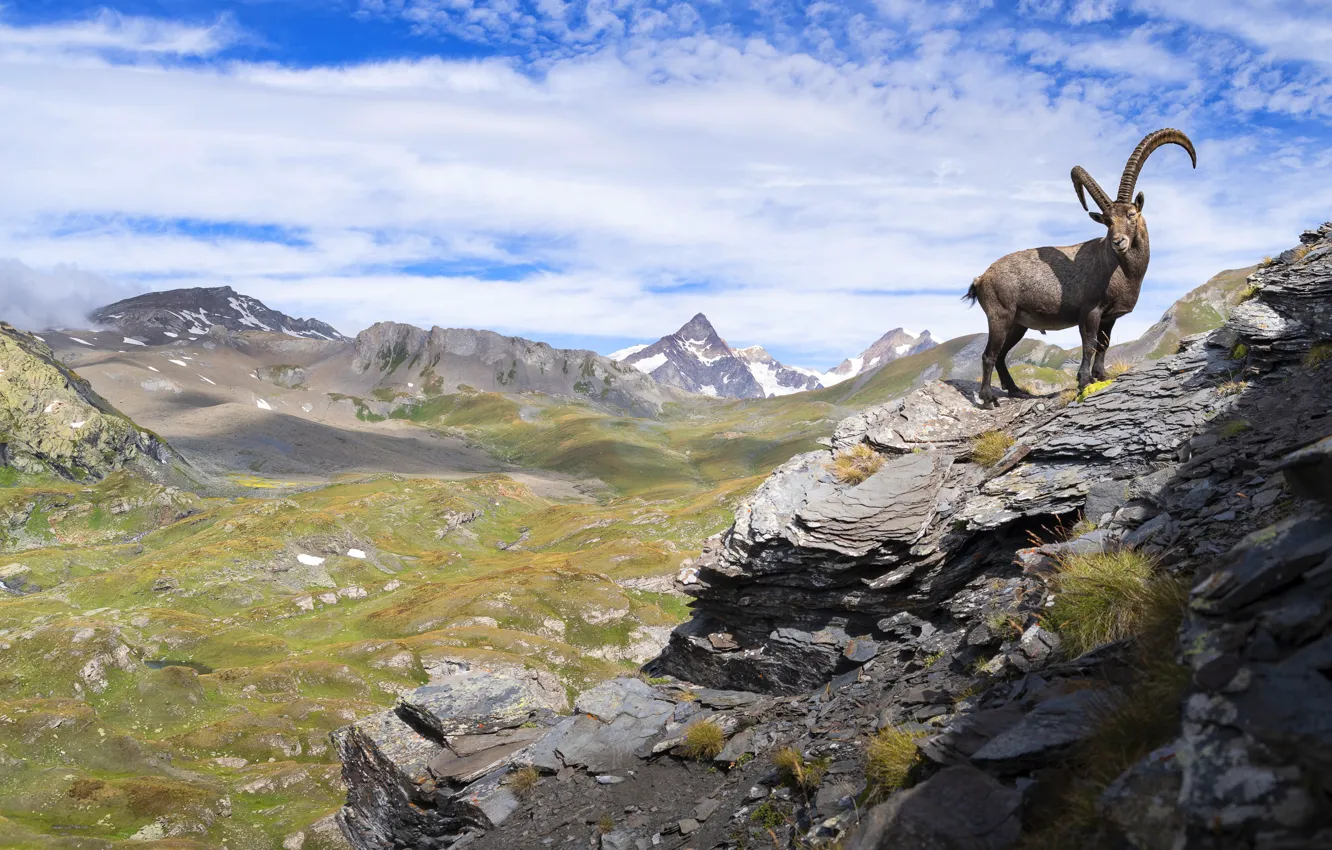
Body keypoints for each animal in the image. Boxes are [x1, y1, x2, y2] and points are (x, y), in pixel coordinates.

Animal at [964, 128, 1196, 408]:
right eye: (1107, 221)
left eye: (1131, 214)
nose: (1118, 241)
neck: (1121, 271)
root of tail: (981, 278)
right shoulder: (1090, 311)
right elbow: (1089, 344)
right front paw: (1084, 381)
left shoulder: (1110, 317)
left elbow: (1103, 345)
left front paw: (1101, 375)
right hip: (1000, 316)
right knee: (989, 355)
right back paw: (988, 399)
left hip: (1018, 323)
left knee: (1000, 355)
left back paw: (1016, 390)